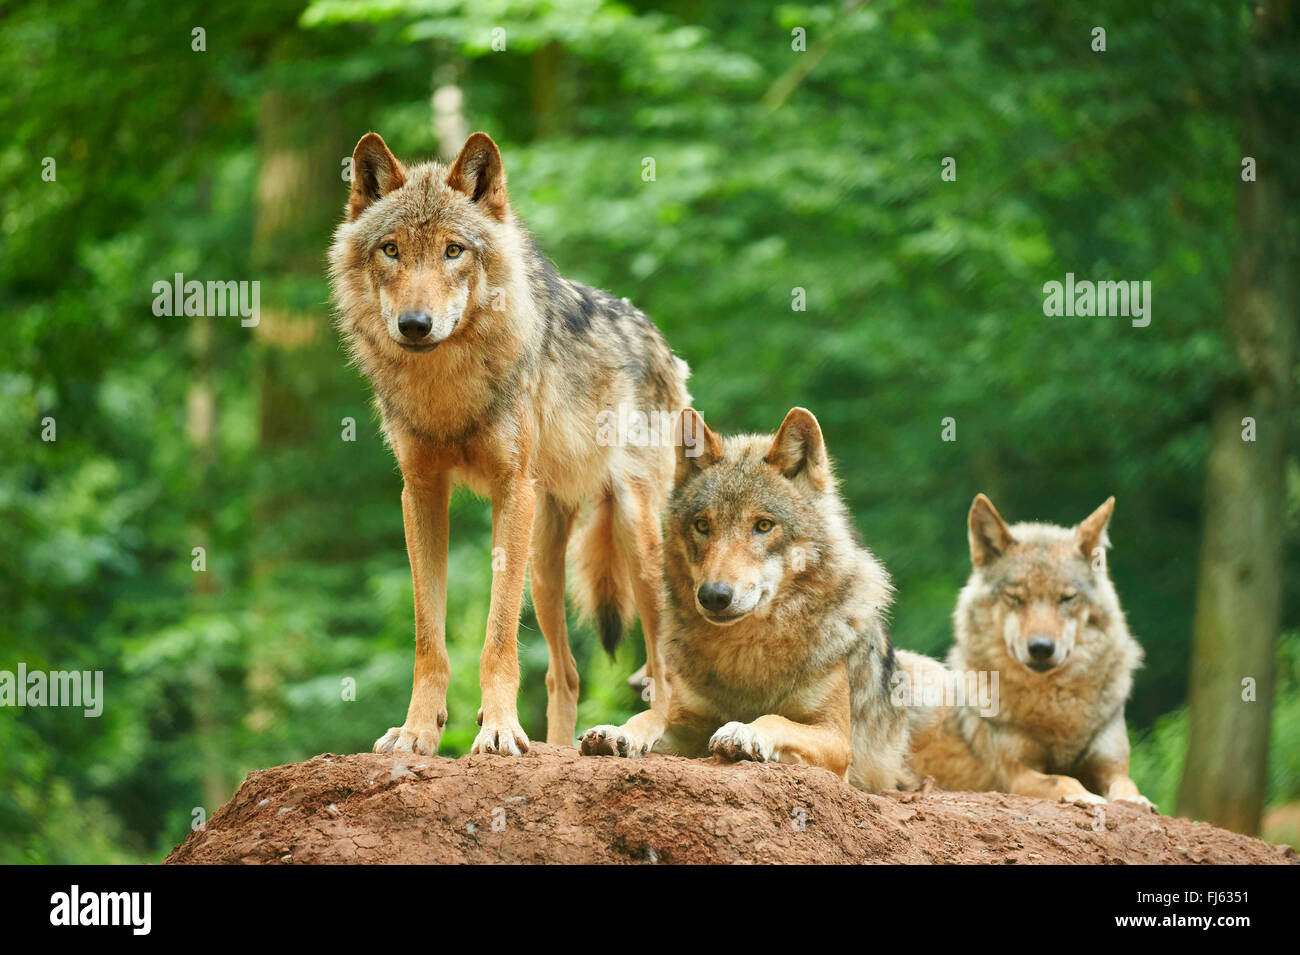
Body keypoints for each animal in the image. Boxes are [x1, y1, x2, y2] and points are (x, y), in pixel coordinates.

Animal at [328, 131, 690, 756]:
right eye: (391, 250)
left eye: (454, 251)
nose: (415, 324)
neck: (446, 389)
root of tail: (661, 342)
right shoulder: (421, 493)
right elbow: (429, 638)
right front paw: (418, 731)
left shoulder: (509, 488)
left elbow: (498, 639)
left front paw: (497, 730)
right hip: (545, 564)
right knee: (565, 673)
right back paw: (562, 747)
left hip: (634, 534)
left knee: (663, 663)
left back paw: (634, 735)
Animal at [578, 408, 912, 792]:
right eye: (702, 525)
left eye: (763, 525)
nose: (714, 596)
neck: (745, 650)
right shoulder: (689, 724)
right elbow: (651, 715)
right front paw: (616, 731)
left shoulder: (836, 739)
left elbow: (774, 718)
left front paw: (744, 732)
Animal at [897, 494, 1152, 807]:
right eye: (1015, 598)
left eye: (1066, 598)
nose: (1041, 648)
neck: (1053, 705)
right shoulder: (1016, 773)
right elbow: (1062, 779)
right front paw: (1087, 797)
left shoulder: (1112, 764)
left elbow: (1127, 785)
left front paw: (1137, 802)